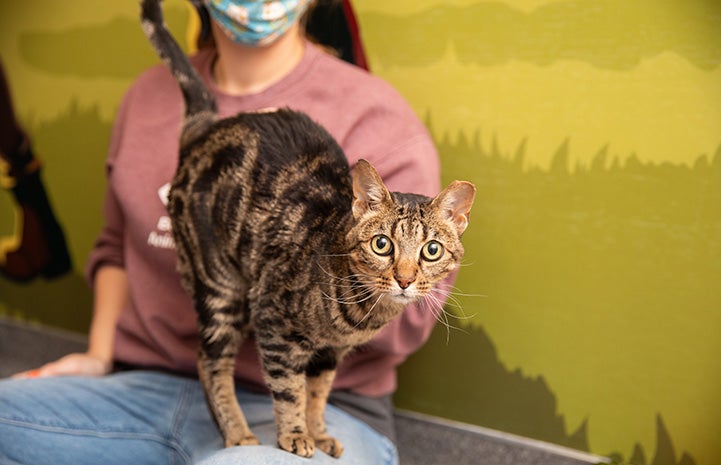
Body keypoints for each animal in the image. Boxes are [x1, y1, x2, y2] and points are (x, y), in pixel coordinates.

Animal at [139, 0, 476, 456]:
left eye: (431, 251)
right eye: (382, 245)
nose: (404, 279)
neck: (358, 314)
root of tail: (208, 127)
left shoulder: (329, 354)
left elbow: (318, 393)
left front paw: (317, 431)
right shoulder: (274, 321)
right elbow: (288, 390)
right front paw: (295, 435)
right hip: (220, 284)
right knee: (209, 360)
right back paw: (238, 433)